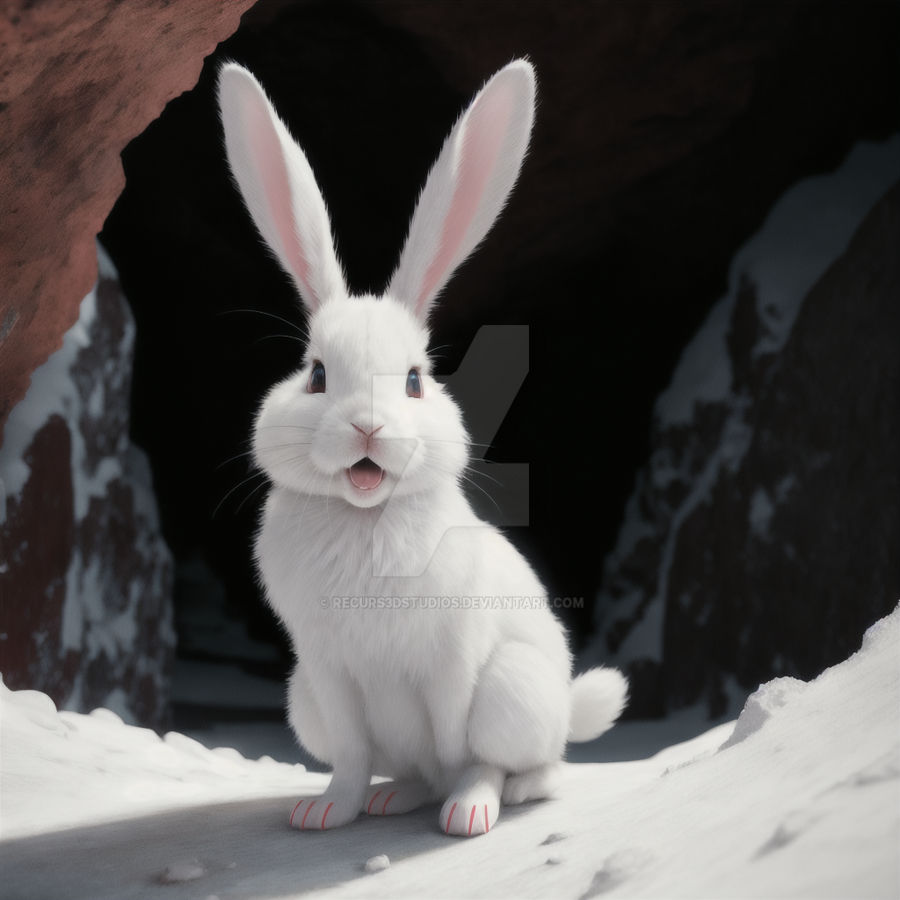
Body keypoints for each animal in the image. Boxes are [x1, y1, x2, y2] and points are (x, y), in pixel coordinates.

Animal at [217, 58, 628, 837]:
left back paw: (495, 797)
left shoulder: (452, 663)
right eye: (317, 374)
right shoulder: (327, 672)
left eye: (414, 379)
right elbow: (351, 758)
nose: (367, 428)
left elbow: (461, 747)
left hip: (515, 689)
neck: (365, 517)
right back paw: (393, 798)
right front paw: (324, 814)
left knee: (532, 761)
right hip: (302, 700)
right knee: (405, 768)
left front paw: (466, 813)